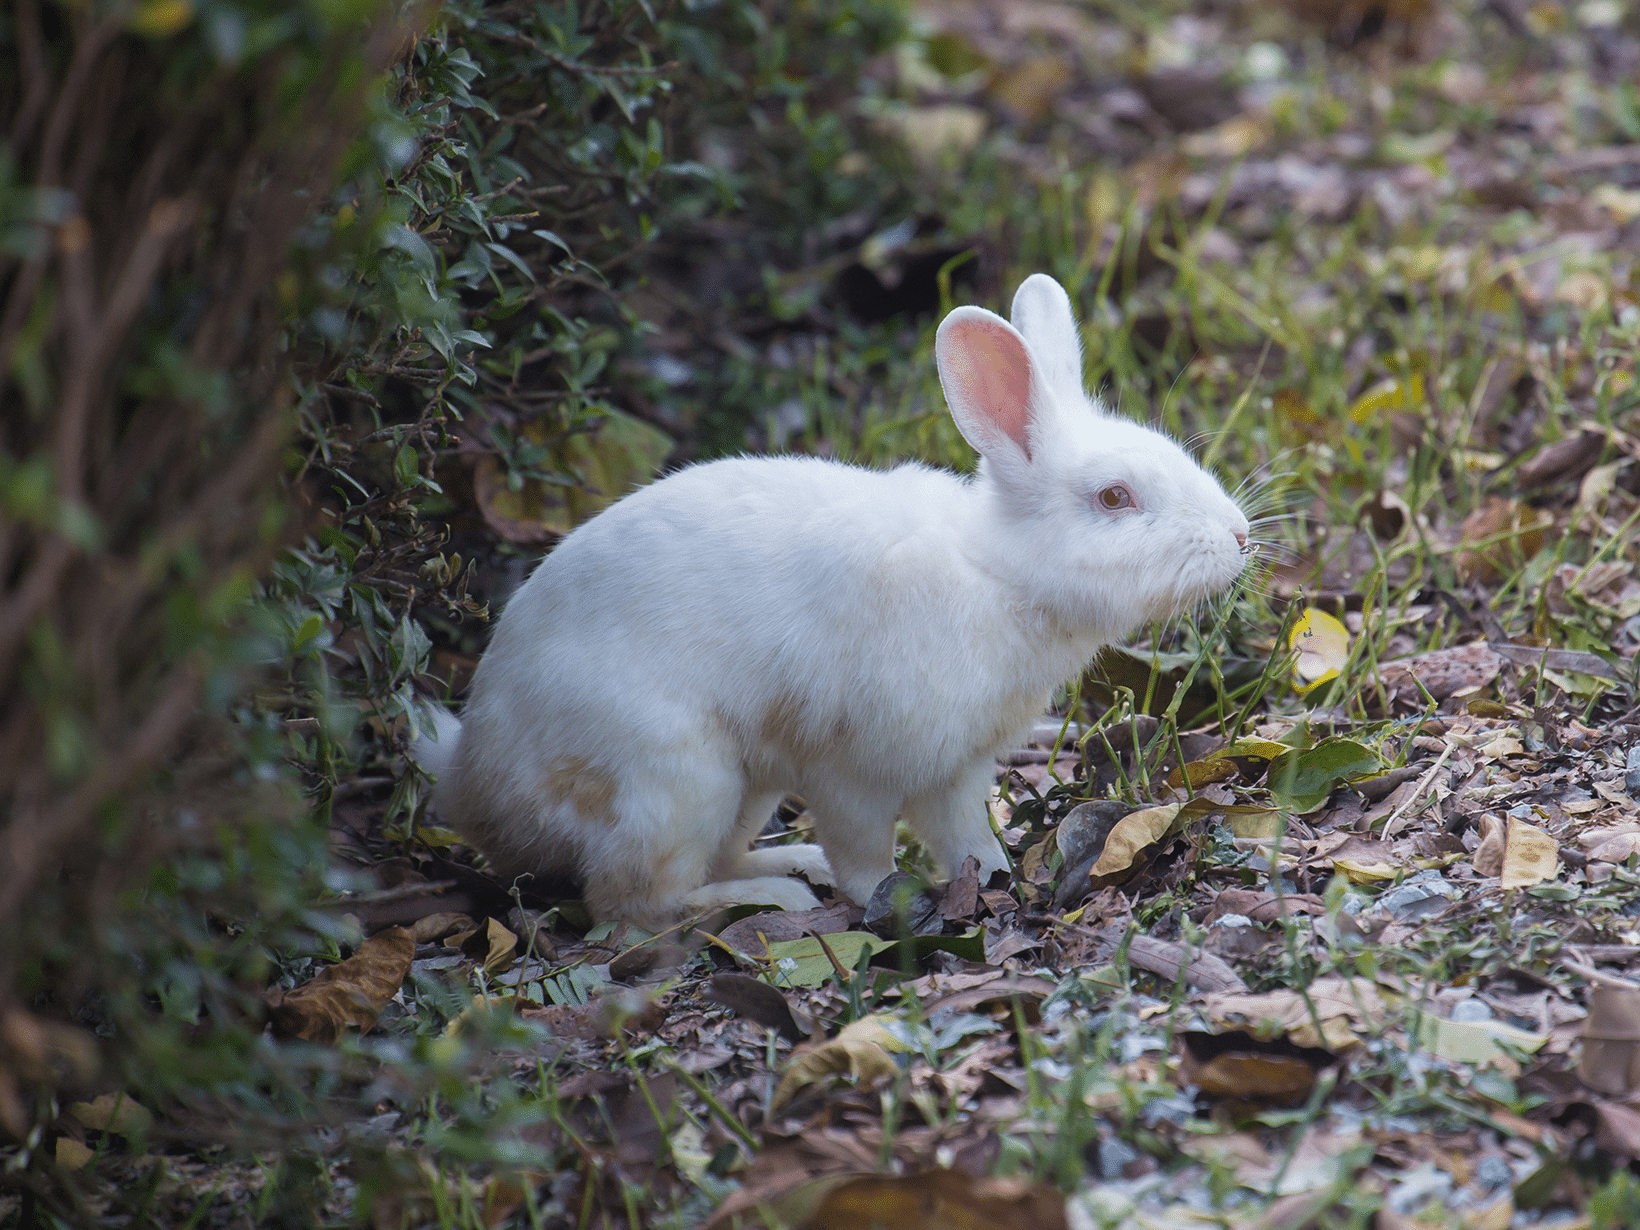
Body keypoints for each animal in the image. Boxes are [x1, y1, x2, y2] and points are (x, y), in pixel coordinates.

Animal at [416, 273, 1246, 931]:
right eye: (1114, 497)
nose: (1240, 537)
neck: (996, 575)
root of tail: (469, 783)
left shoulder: (957, 769)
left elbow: (965, 837)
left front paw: (1001, 879)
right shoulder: (853, 769)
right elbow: (863, 849)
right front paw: (889, 894)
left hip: (745, 787)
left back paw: (793, 866)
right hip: (675, 780)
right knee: (631, 905)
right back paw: (775, 900)